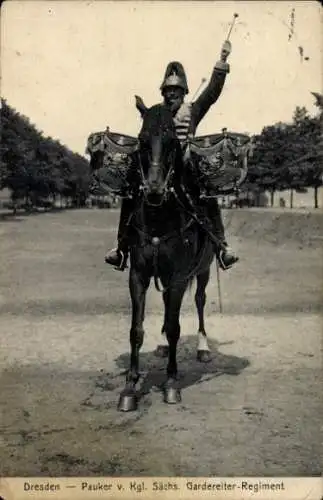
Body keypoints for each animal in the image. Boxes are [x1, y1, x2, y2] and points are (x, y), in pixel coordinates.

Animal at [118, 104, 215, 410]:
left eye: (173, 142)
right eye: (141, 141)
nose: (154, 191)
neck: (158, 218)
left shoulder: (179, 277)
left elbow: (175, 327)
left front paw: (171, 382)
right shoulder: (138, 275)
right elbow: (135, 330)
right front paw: (129, 386)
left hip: (203, 271)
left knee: (200, 300)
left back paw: (203, 347)